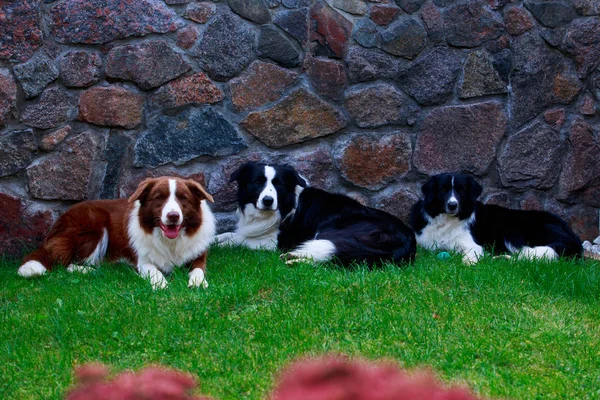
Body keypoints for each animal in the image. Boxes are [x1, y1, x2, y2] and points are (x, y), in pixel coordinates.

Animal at [17, 177, 217, 290]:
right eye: (159, 197)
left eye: (183, 198)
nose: (173, 216)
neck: (171, 242)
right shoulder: (142, 261)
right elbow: (154, 271)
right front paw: (160, 284)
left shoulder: (199, 256)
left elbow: (198, 270)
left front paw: (198, 282)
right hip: (94, 224)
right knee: (63, 262)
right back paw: (91, 270)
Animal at [410, 172, 584, 262]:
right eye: (443, 190)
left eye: (461, 190)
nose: (452, 205)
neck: (446, 220)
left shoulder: (472, 245)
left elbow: (470, 254)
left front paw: (469, 263)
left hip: (514, 229)